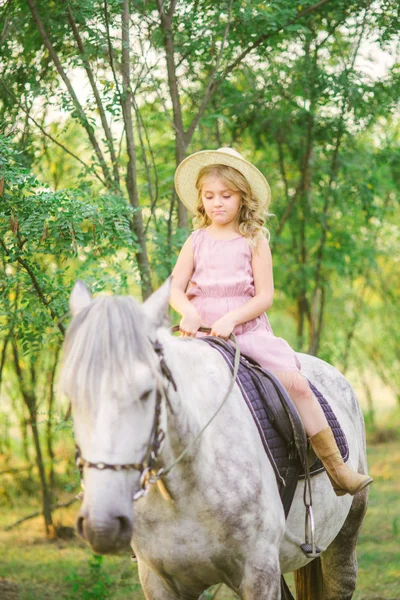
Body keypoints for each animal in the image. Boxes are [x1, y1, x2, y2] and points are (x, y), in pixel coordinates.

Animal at [59, 282, 368, 600]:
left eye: (147, 391)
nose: (102, 523)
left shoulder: (259, 573)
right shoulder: (157, 580)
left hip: (344, 536)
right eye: (70, 394)